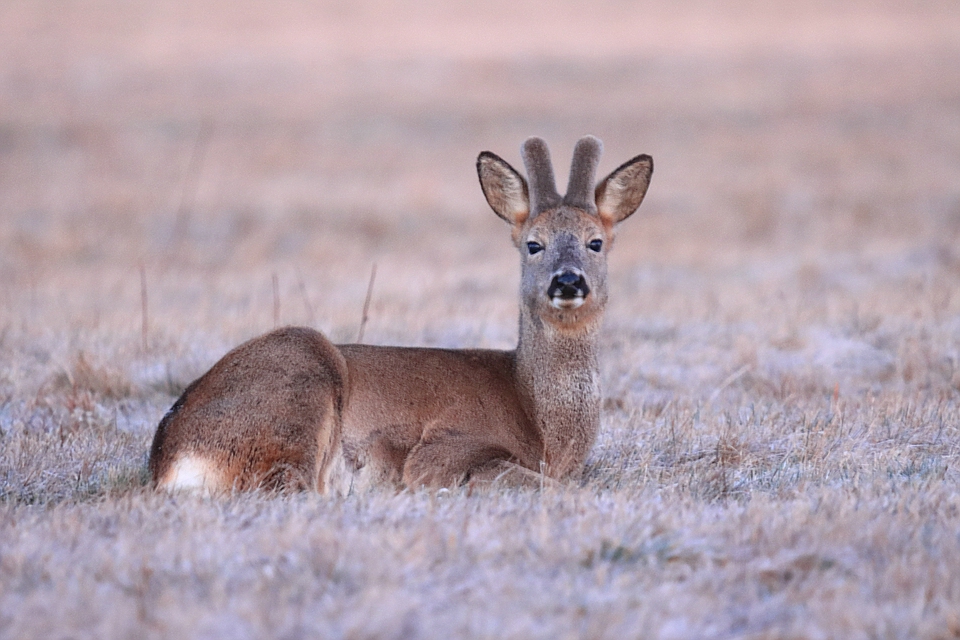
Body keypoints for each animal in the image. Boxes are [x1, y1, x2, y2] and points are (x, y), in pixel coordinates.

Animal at [148, 138, 652, 492]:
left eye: (595, 242)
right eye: (533, 244)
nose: (568, 281)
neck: (544, 429)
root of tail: (166, 458)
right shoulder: (445, 448)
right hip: (300, 384)